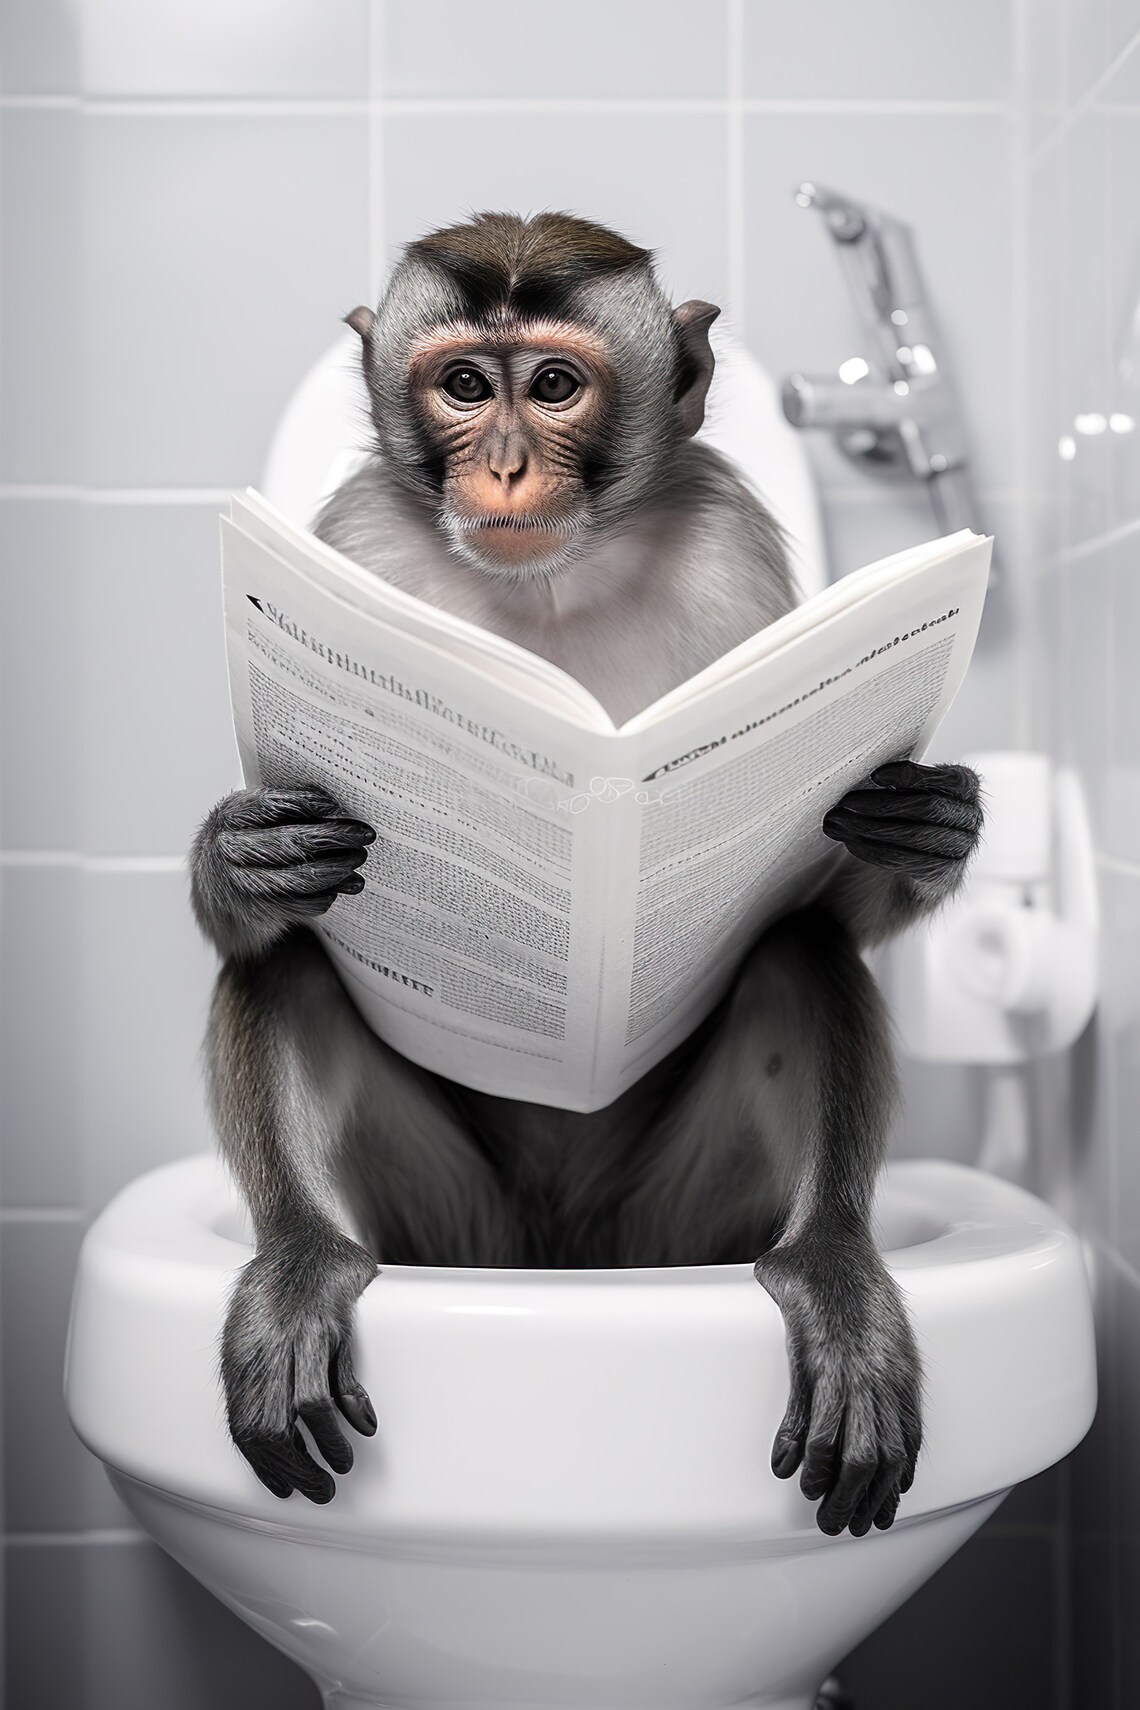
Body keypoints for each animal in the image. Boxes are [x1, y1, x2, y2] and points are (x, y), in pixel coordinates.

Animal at [190, 212, 982, 1538]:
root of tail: (561, 1264)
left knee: (793, 952)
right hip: (454, 1226)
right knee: (295, 958)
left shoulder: (731, 555)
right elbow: (264, 910)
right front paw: (239, 858)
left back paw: (829, 1270)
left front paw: (923, 829)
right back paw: (301, 1262)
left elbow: (818, 899)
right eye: (466, 385)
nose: (507, 465)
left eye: (555, 385)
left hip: (671, 1227)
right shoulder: (353, 543)